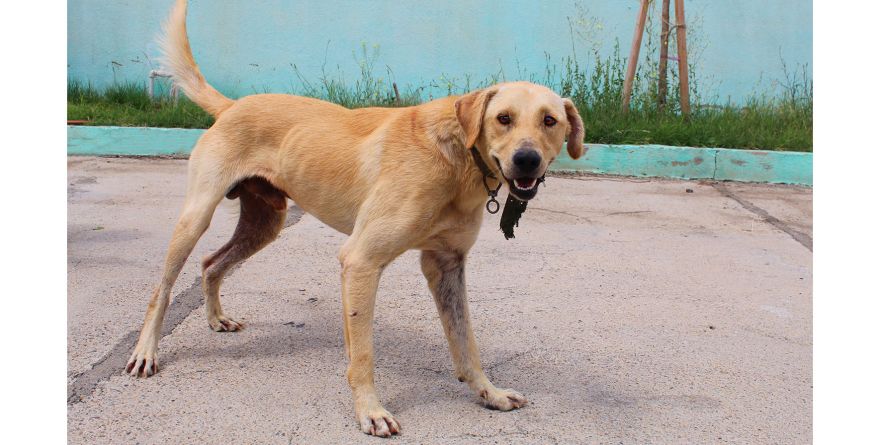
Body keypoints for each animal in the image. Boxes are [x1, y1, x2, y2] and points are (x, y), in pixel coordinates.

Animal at [125, 0, 584, 438]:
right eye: (503, 118)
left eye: (550, 121)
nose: (527, 161)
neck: (457, 158)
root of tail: (233, 105)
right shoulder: (361, 261)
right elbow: (363, 353)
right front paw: (371, 412)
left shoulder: (446, 265)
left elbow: (466, 342)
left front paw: (489, 393)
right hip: (196, 217)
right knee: (162, 288)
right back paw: (145, 351)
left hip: (265, 224)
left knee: (210, 263)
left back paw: (215, 317)